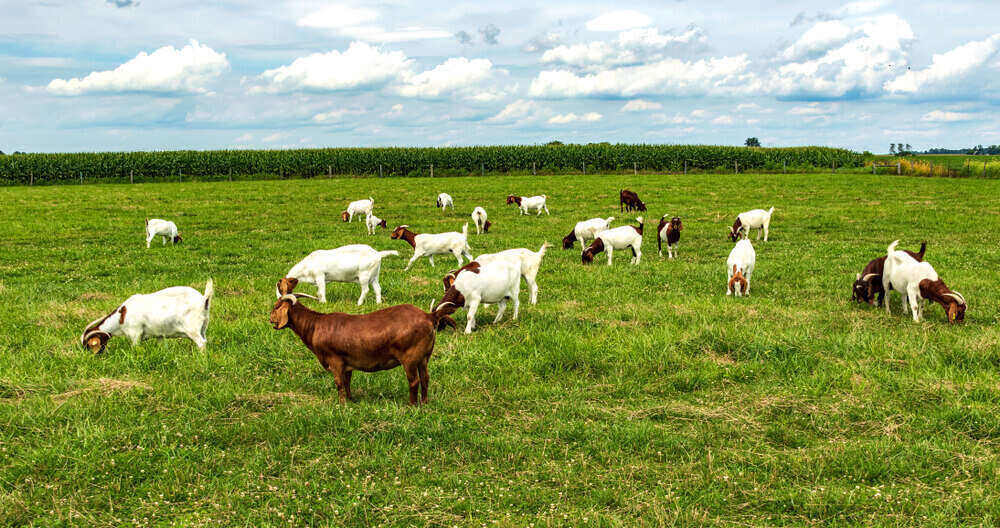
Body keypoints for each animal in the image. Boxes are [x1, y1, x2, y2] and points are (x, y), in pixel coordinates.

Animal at [81, 279, 213, 353]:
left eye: (88, 346)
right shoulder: (160, 335)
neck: (121, 317)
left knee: (201, 343)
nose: (91, 358)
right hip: (203, 327)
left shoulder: (135, 334)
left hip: (192, 329)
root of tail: (203, 300)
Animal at [270, 278, 456, 405]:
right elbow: (347, 382)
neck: (315, 325)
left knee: (414, 381)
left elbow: (339, 383)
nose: (270, 319)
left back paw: (411, 405)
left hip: (409, 357)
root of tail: (429, 316)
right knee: (425, 378)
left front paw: (341, 405)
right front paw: (351, 400)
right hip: (424, 356)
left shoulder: (334, 360)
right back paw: (424, 402)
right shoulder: (347, 363)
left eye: (276, 307)